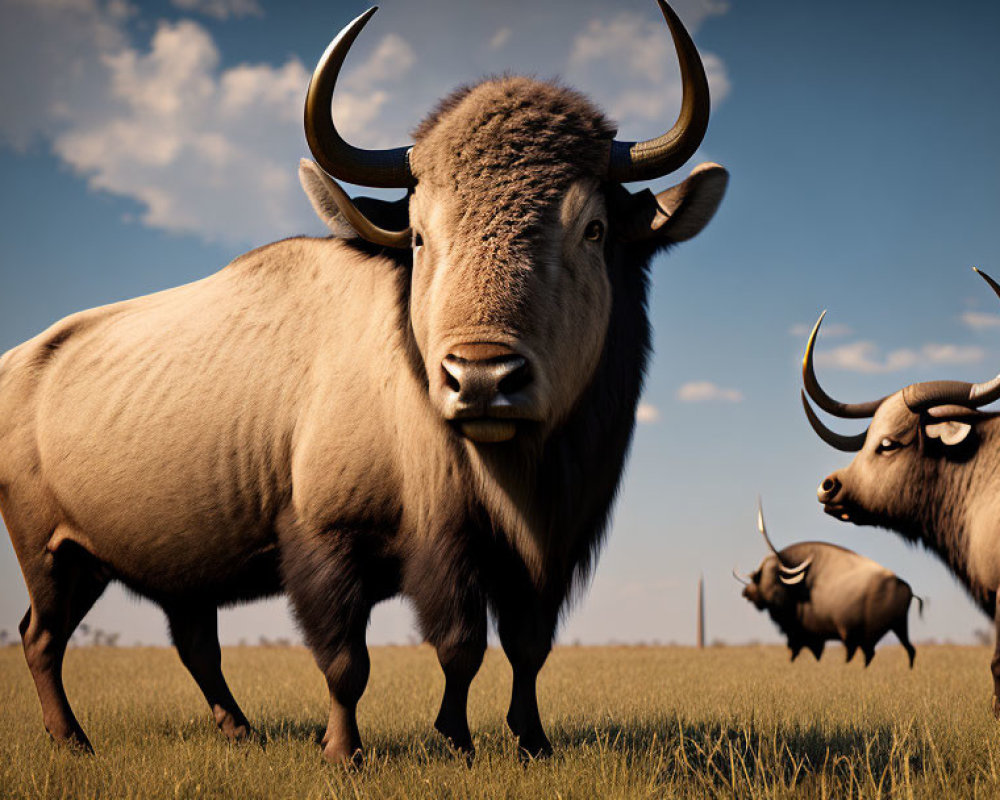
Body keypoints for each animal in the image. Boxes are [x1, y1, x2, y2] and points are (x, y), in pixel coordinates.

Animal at [0, 0, 728, 764]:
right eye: (417, 234)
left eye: (593, 228)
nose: (480, 377)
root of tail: (17, 362)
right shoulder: (334, 543)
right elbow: (365, 659)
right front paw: (349, 751)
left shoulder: (539, 556)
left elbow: (516, 649)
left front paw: (522, 741)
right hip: (53, 556)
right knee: (41, 637)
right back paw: (73, 739)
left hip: (162, 572)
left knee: (192, 644)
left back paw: (240, 731)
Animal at [736, 504, 920, 664]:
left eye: (759, 577)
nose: (746, 592)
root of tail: (907, 589)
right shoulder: (812, 639)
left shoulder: (822, 637)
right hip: (899, 628)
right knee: (908, 649)